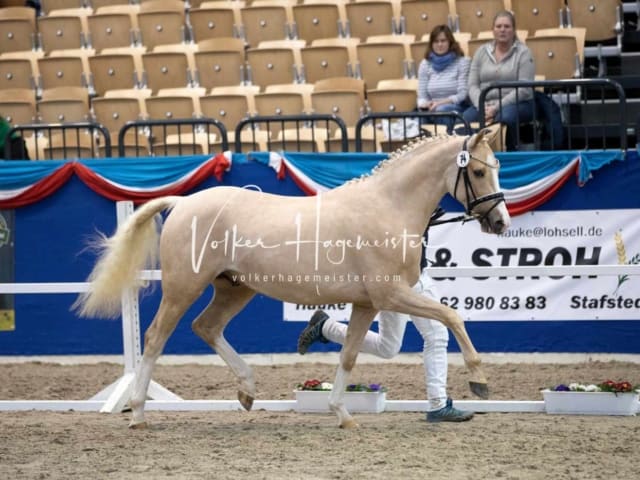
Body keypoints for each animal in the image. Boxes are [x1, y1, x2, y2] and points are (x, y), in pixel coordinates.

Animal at [74, 124, 510, 428]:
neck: (387, 206)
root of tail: (182, 202)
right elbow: (453, 316)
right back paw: (137, 413)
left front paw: (342, 414)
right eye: (478, 172)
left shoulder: (367, 303)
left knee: (207, 327)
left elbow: (350, 355)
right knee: (154, 338)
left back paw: (247, 391)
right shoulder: (391, 295)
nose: (501, 222)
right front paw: (480, 380)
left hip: (234, 289)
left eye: (497, 168)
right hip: (184, 287)